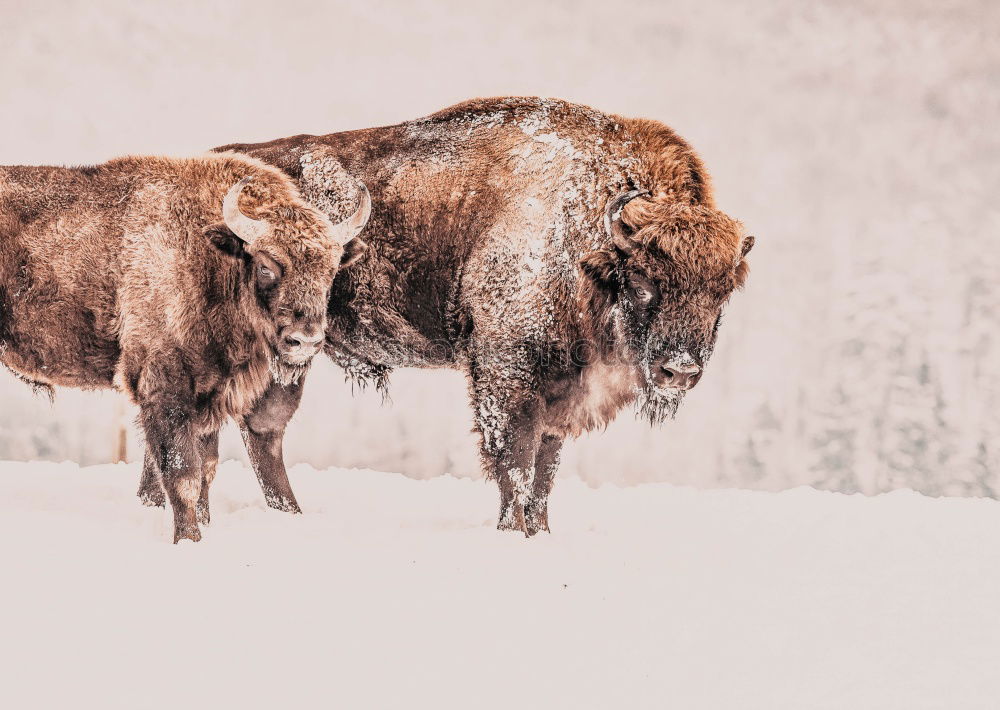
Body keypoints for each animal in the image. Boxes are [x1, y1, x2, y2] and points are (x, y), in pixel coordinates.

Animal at [0, 153, 372, 544]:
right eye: (266, 265)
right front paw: (189, 539)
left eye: (331, 269)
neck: (211, 259)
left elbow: (206, 468)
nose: (306, 339)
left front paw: (204, 526)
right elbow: (184, 476)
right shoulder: (167, 391)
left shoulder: (209, 395)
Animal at [143, 97, 752, 536]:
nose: (679, 371)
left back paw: (277, 516)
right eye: (644, 279)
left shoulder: (559, 397)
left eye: (723, 291)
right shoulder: (507, 377)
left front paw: (542, 531)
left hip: (290, 355)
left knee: (258, 428)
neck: (586, 239)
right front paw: (515, 532)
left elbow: (545, 472)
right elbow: (515, 466)